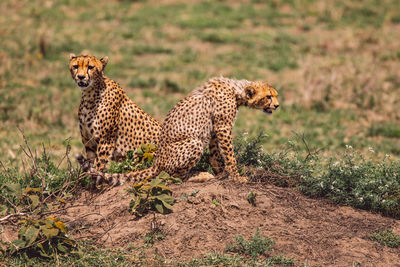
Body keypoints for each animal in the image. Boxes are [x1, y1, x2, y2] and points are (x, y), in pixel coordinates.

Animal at [95, 75, 280, 185]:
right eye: (268, 96)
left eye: (275, 95)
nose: (277, 106)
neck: (236, 90)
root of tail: (157, 161)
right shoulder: (223, 127)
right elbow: (229, 155)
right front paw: (236, 176)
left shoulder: (214, 130)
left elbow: (215, 155)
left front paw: (220, 174)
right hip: (193, 143)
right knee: (174, 177)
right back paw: (199, 176)